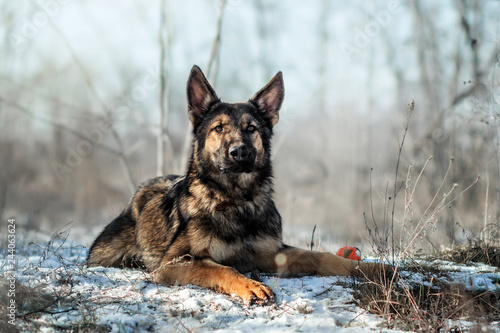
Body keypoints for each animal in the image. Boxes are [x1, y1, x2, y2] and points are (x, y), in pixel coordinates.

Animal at [87, 65, 386, 304]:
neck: (236, 200)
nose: (239, 152)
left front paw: (375, 269)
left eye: (251, 128)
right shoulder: (174, 263)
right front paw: (250, 285)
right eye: (218, 128)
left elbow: (323, 257)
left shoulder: (273, 252)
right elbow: (221, 268)